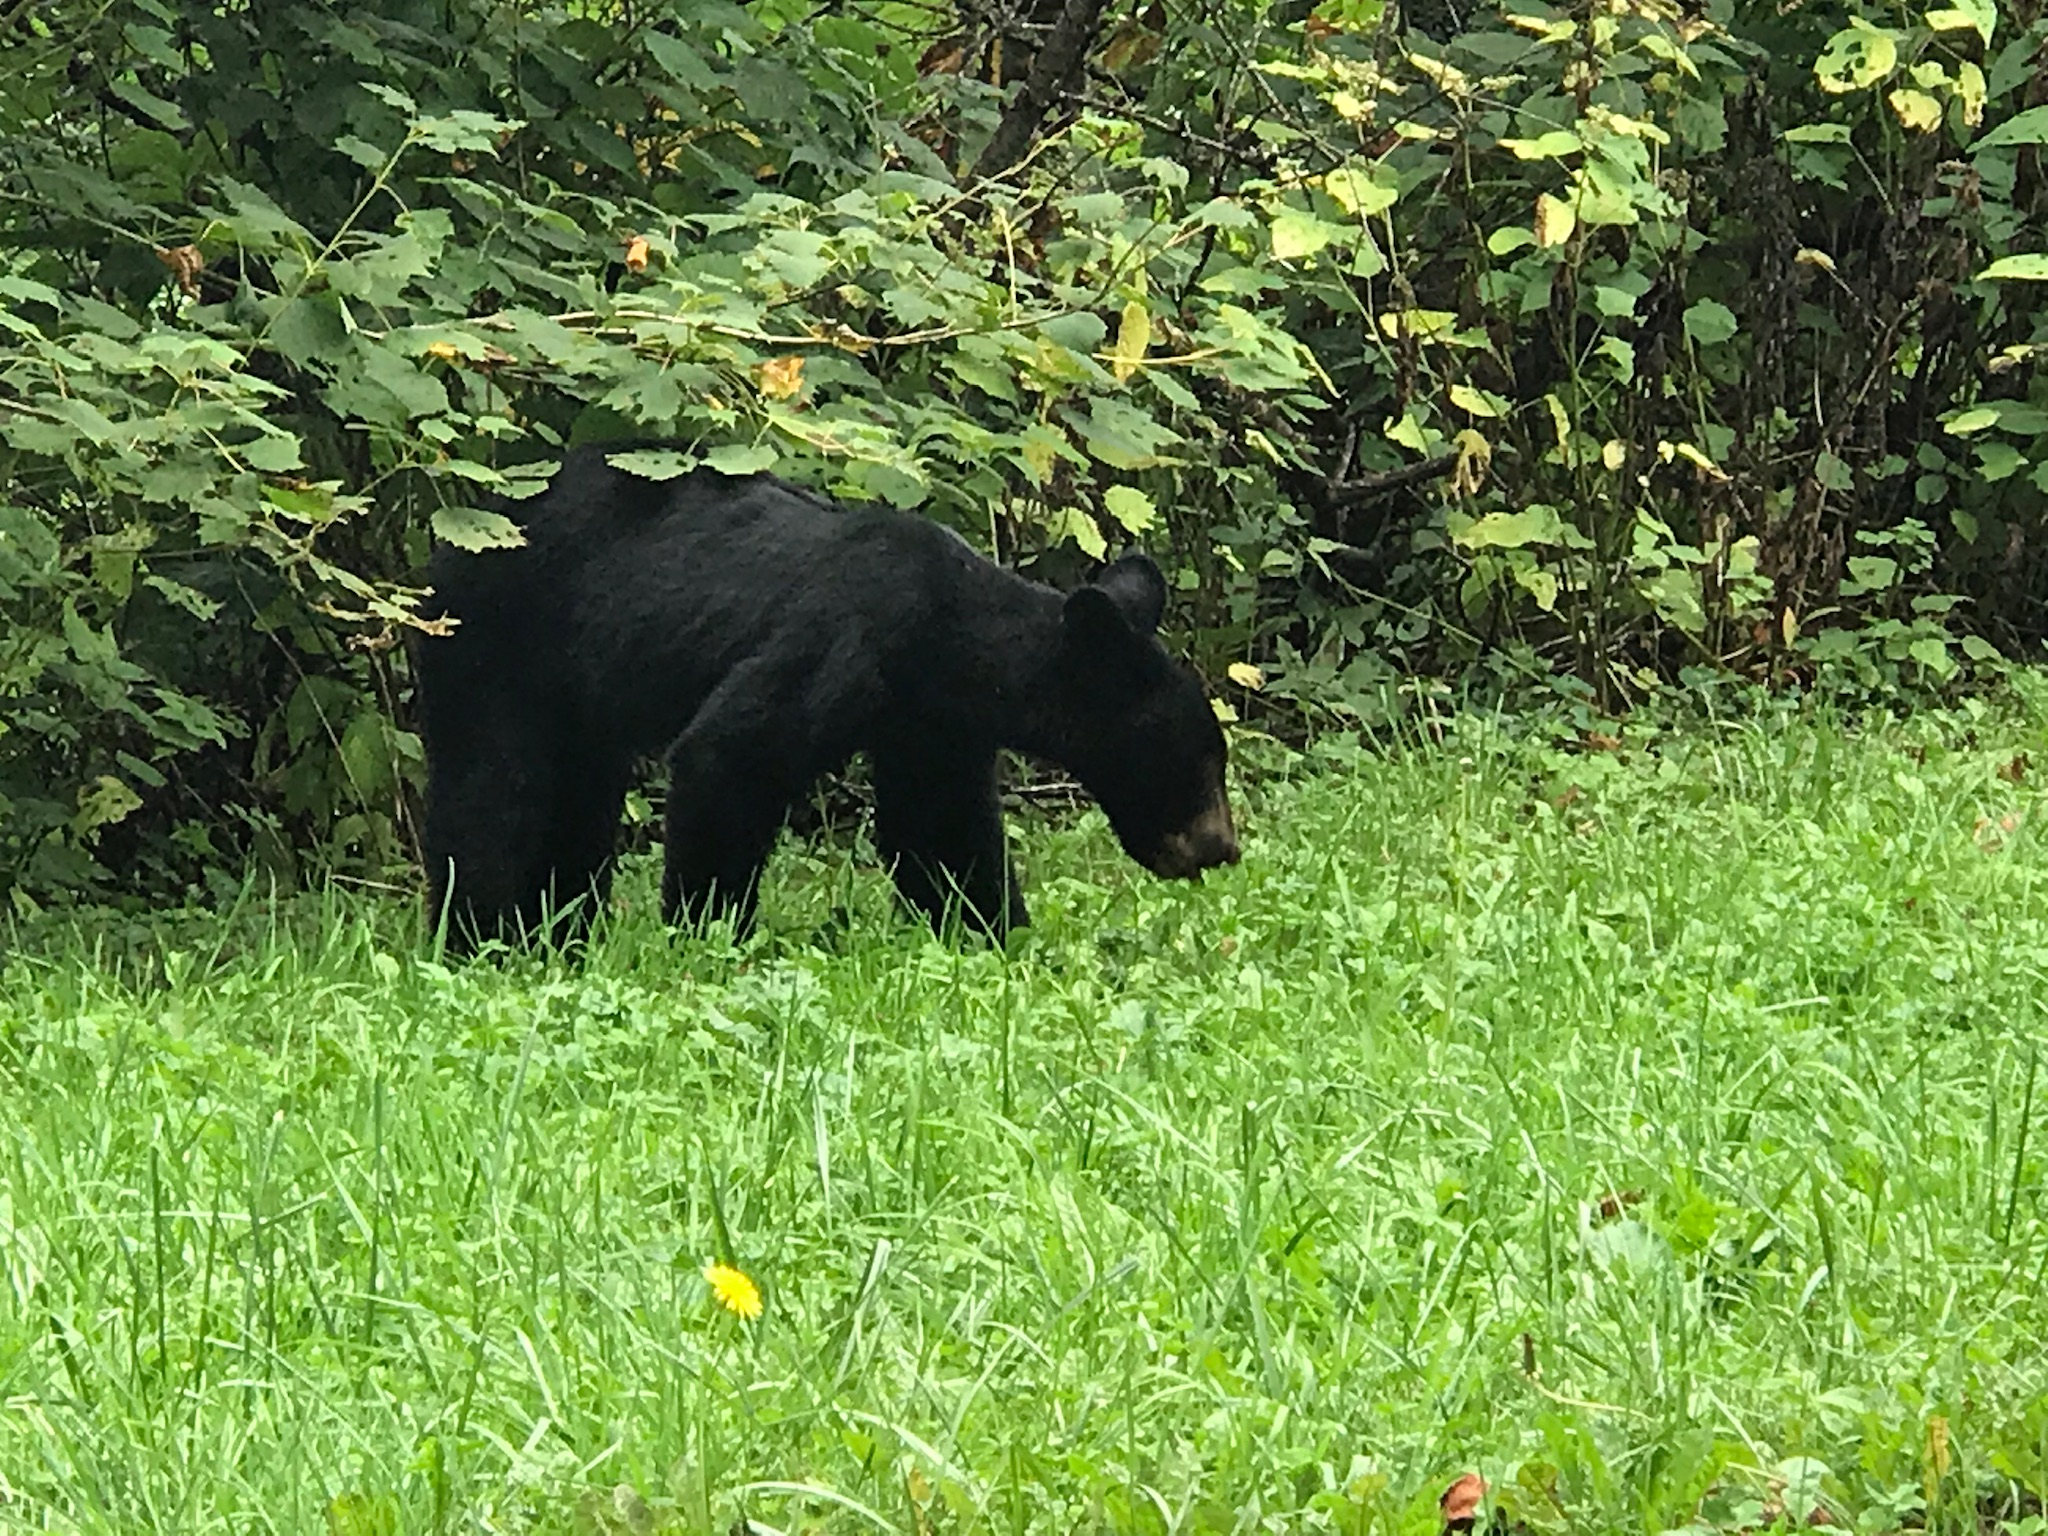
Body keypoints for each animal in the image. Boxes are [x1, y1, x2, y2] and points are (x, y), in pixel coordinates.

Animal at [414, 444, 1240, 955]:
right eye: (1196, 759)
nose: (1220, 848)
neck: (955, 637)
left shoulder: (927, 720)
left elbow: (943, 828)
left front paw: (997, 936)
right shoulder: (847, 642)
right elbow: (731, 754)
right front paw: (708, 939)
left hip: (581, 701)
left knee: (577, 811)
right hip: (494, 648)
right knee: (491, 796)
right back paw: (478, 939)